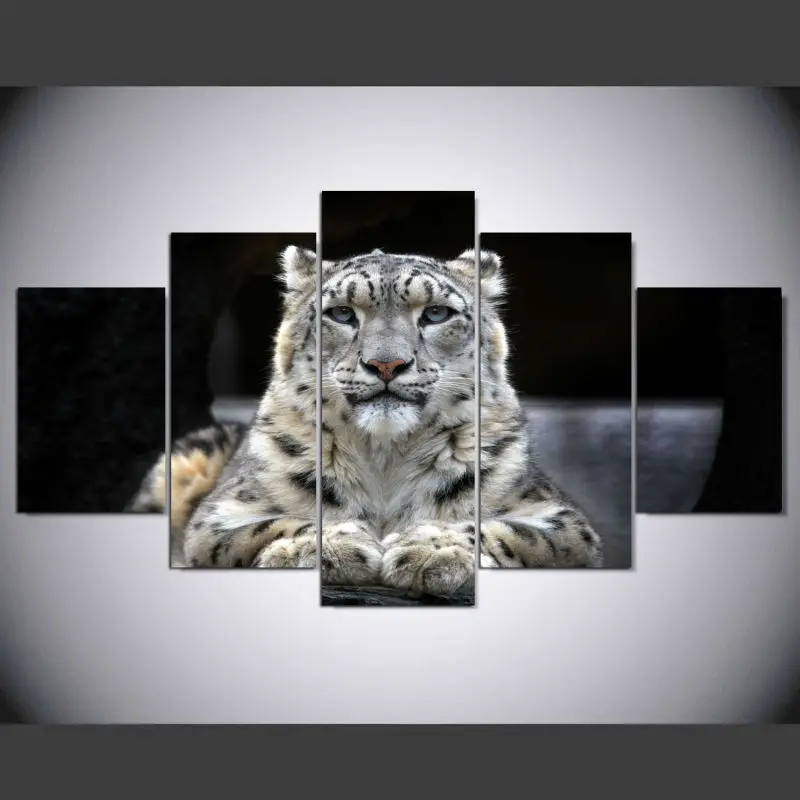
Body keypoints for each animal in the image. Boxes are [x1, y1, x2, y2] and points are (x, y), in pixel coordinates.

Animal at [127, 245, 603, 595]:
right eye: (341, 313)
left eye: (436, 313)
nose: (386, 364)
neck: (385, 457)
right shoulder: (220, 513)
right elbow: (268, 523)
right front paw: (327, 547)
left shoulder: (560, 517)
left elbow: (503, 528)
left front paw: (431, 550)